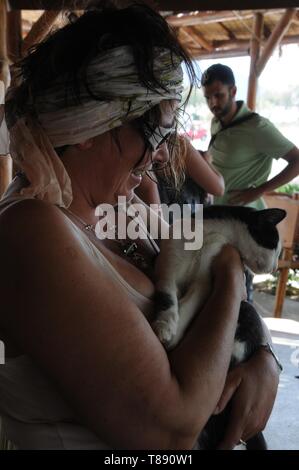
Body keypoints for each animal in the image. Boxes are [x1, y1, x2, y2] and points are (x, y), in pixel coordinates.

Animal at [154, 207, 288, 452]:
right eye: (274, 246)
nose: (275, 268)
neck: (208, 237)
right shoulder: (168, 267)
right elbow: (168, 297)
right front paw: (166, 326)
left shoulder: (205, 279)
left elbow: (191, 302)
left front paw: (175, 333)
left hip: (245, 309)